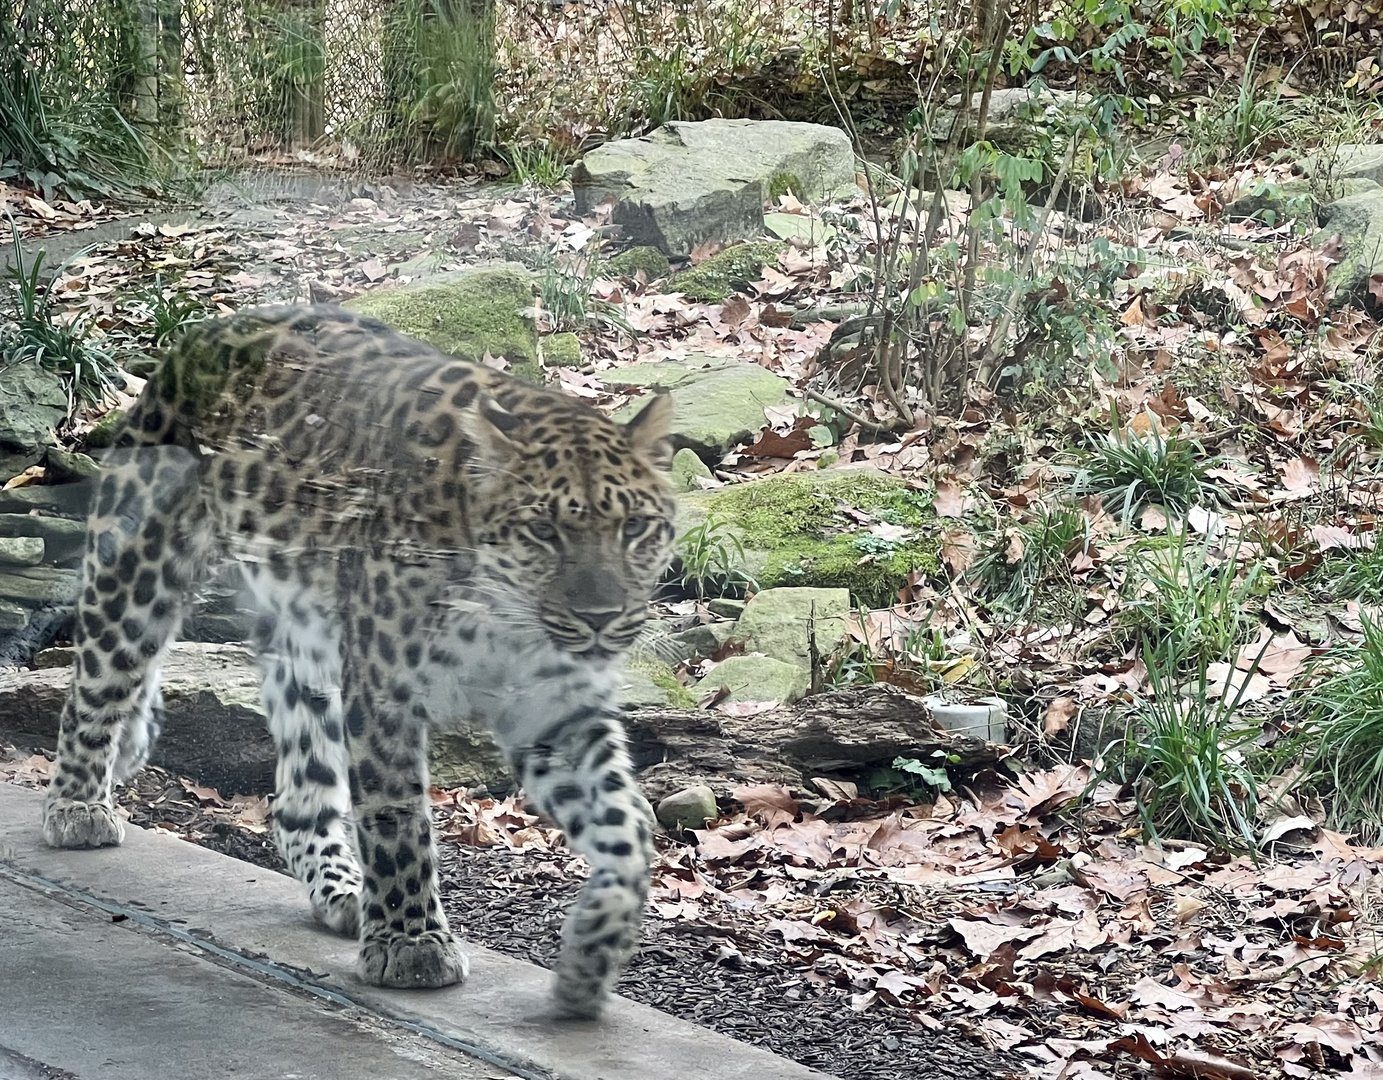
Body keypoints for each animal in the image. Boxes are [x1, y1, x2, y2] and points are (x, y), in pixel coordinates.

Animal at [39, 303, 677, 1019]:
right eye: (544, 531)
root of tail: (199, 335)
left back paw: (342, 889)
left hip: (305, 641)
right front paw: (411, 944)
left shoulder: (554, 704)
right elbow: (399, 819)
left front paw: (592, 954)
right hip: (136, 571)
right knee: (96, 683)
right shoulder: (386, 686)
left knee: (297, 794)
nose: (600, 617)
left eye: (635, 529)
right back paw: (76, 808)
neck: (505, 610)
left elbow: (629, 827)